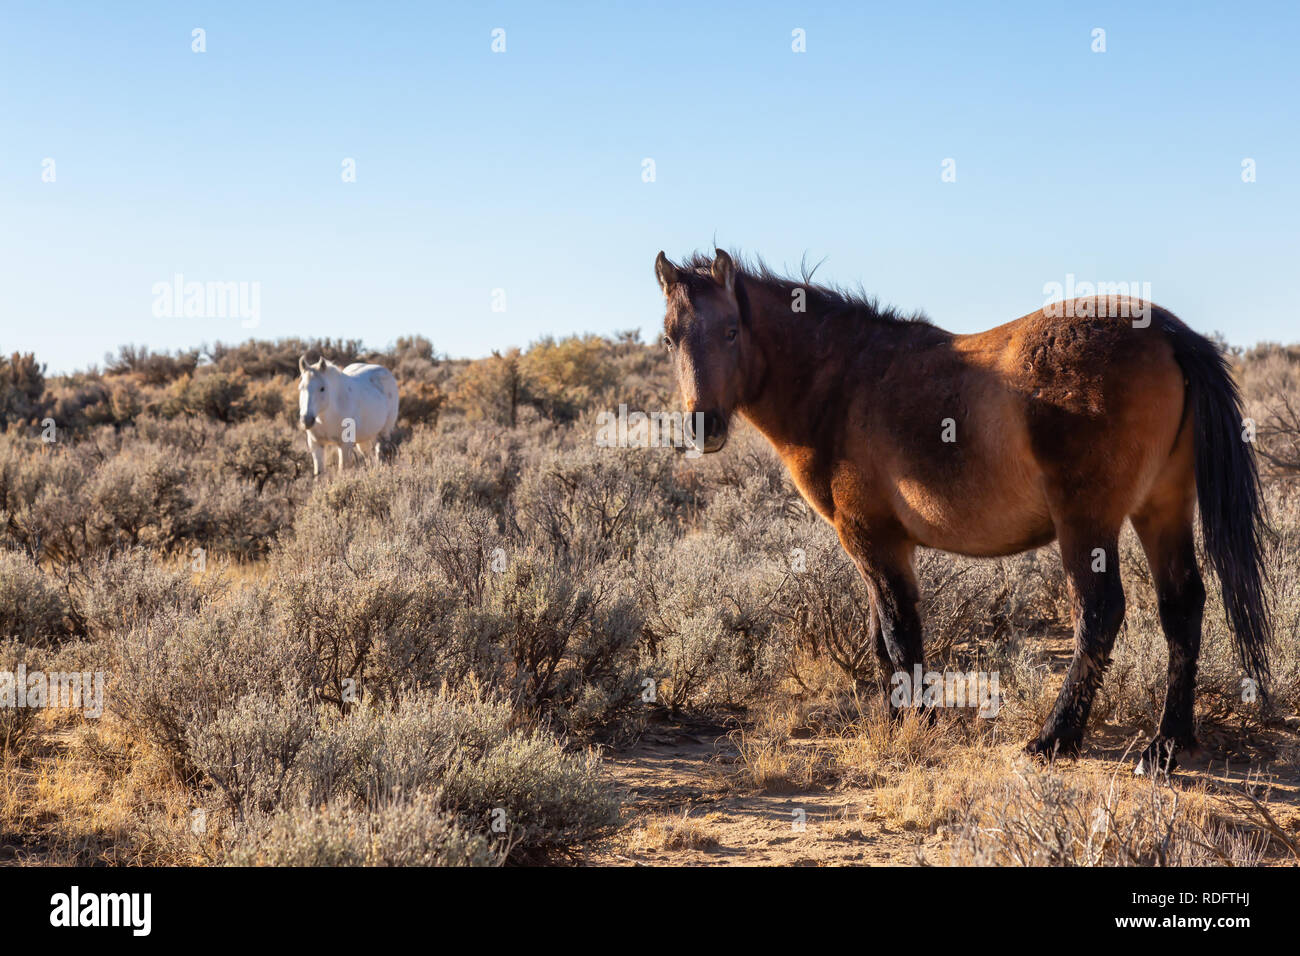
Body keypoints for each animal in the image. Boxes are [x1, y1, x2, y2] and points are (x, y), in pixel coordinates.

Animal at [654, 248, 1272, 771]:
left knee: (1099, 612)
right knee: (1182, 606)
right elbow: (882, 638)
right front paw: (894, 719)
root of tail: (1167, 332)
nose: (702, 426)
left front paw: (921, 723)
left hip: (1087, 521)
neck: (843, 383)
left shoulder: (870, 539)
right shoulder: (882, 546)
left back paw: (1055, 739)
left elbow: (899, 632)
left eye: (731, 330)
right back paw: (1167, 744)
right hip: (1161, 509)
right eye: (668, 338)